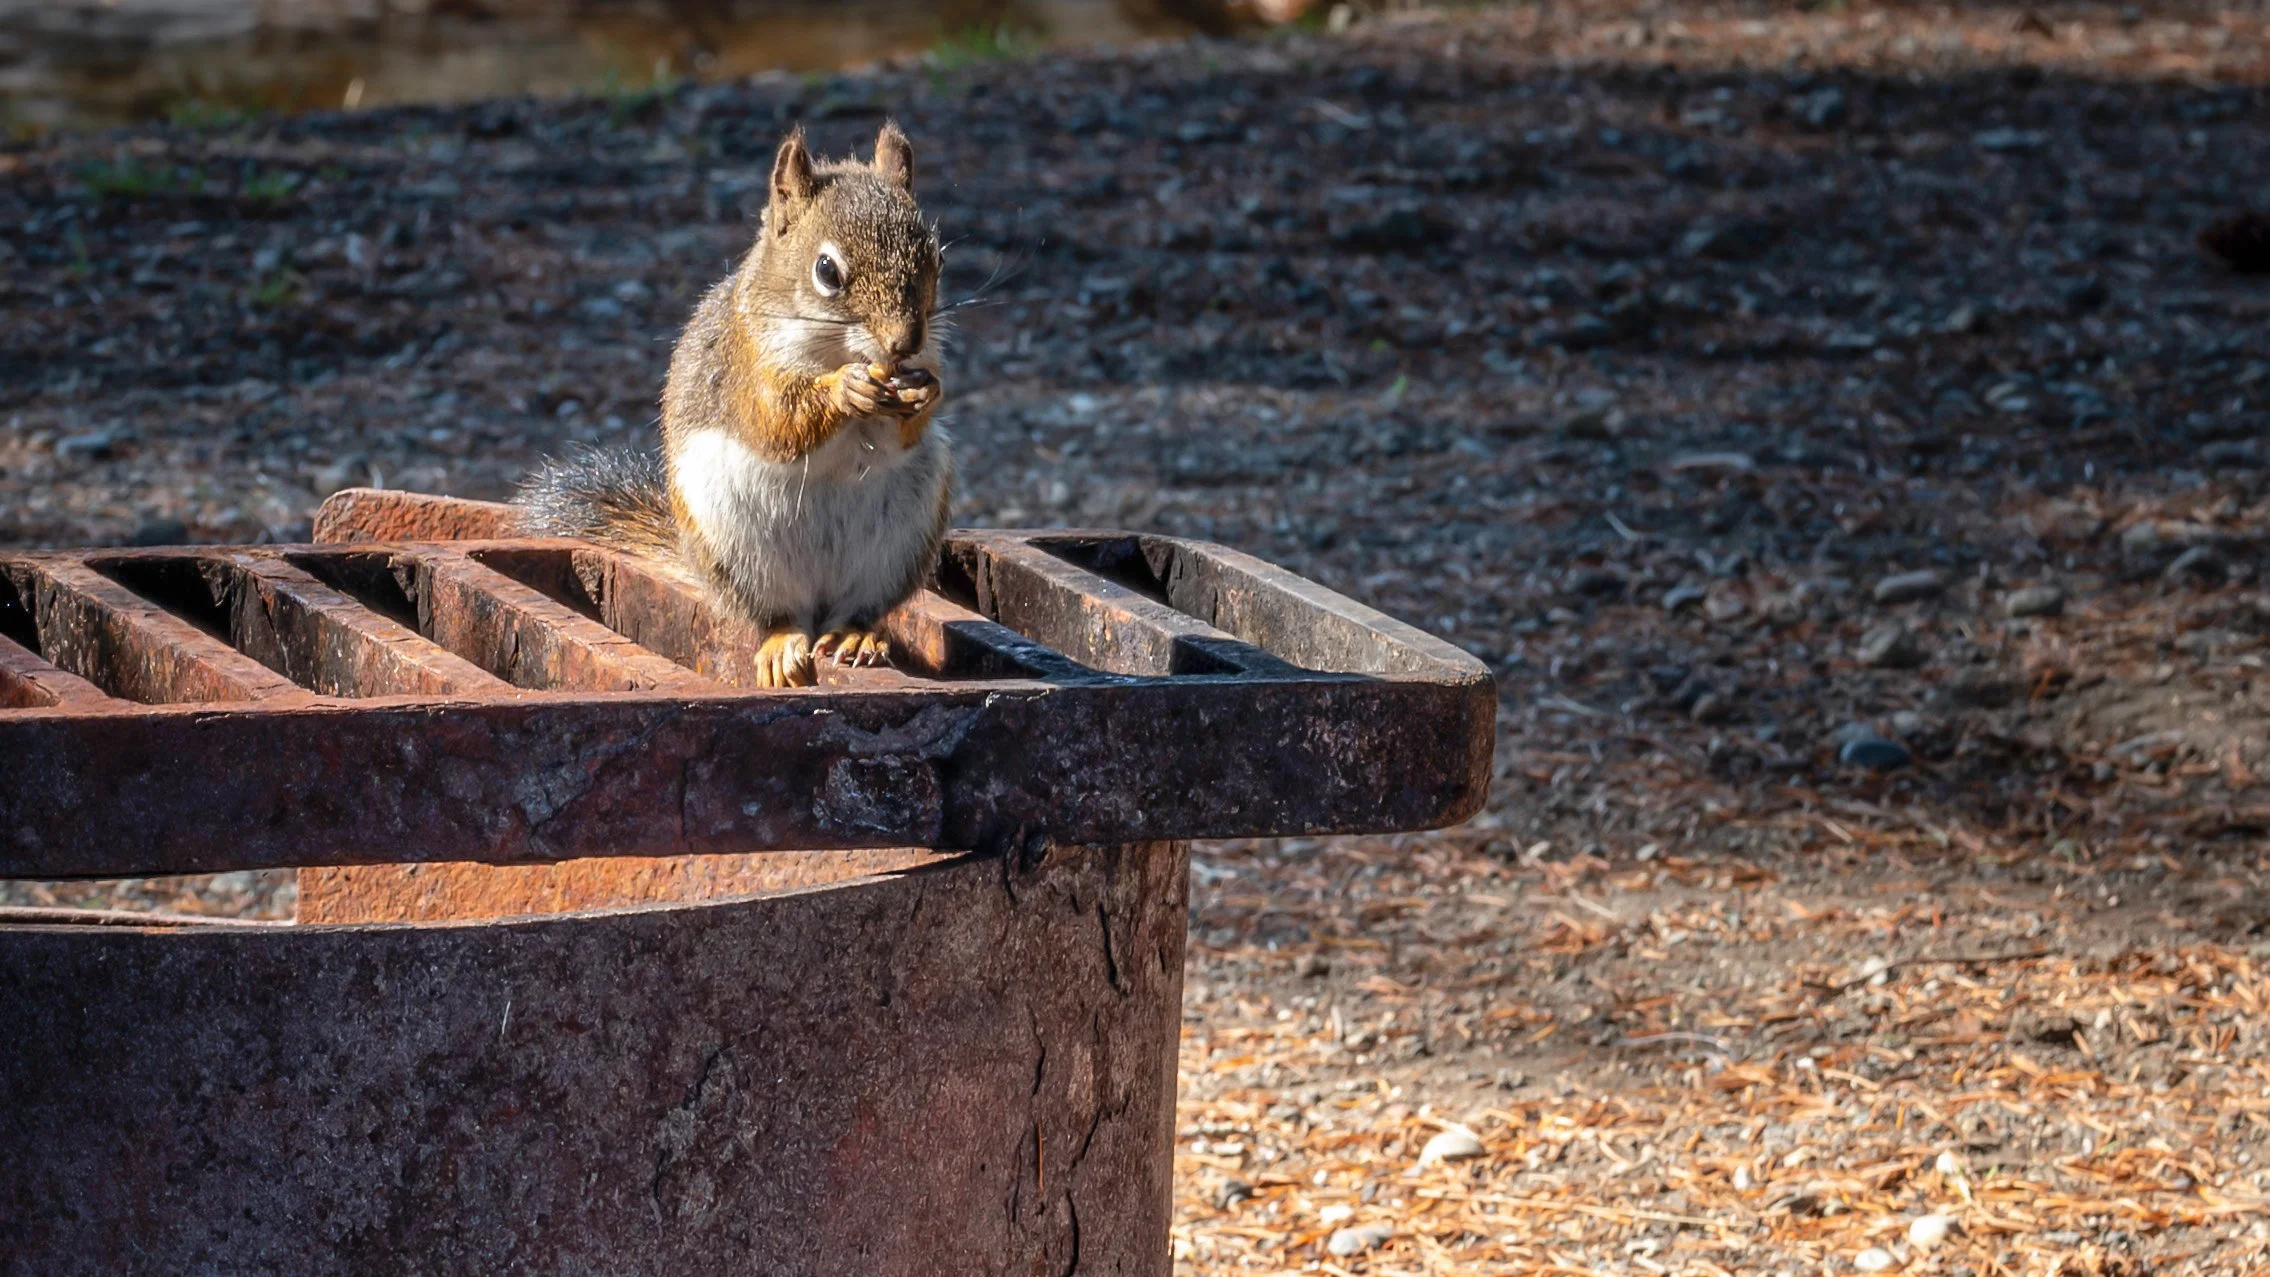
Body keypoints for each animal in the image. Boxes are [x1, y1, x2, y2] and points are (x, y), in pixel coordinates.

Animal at [513, 122, 950, 688]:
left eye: (938, 258)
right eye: (826, 271)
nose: (905, 343)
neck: (838, 350)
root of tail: (817, 603)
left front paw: (926, 392)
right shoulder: (745, 367)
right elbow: (776, 422)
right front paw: (843, 390)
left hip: (904, 536)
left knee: (858, 607)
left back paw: (854, 635)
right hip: (733, 540)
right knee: (778, 615)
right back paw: (784, 641)